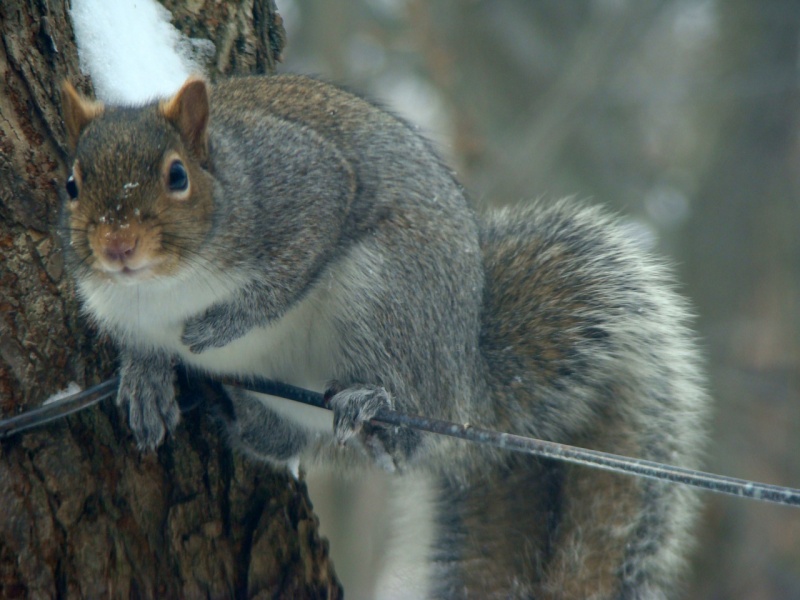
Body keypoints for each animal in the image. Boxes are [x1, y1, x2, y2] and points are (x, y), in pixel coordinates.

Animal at [61, 76, 708, 600]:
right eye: (71, 183)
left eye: (177, 176)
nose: (117, 246)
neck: (162, 287)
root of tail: (463, 385)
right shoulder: (116, 308)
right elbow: (140, 346)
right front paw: (144, 378)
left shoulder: (302, 187)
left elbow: (291, 263)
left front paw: (223, 323)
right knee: (292, 439)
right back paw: (240, 409)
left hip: (387, 299)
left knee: (405, 431)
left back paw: (371, 403)